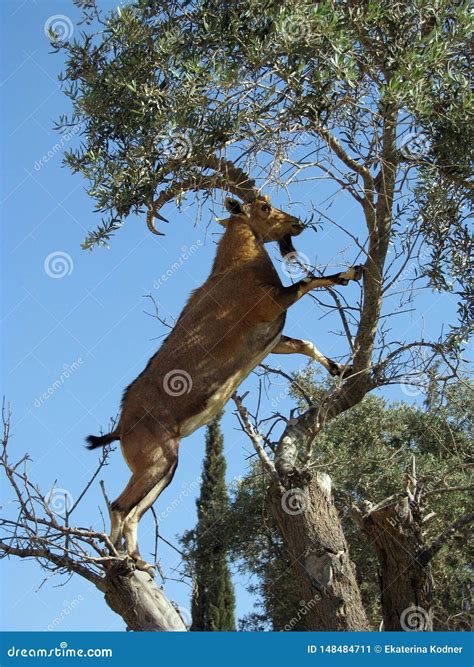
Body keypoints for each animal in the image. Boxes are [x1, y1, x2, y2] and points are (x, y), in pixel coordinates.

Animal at [87, 196, 362, 572]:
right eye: (263, 207)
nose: (297, 223)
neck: (236, 269)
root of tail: (121, 428)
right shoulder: (273, 303)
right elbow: (310, 281)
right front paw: (351, 272)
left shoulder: (272, 338)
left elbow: (304, 344)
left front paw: (340, 370)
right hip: (155, 462)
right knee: (119, 506)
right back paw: (118, 559)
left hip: (165, 469)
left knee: (134, 512)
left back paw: (138, 562)